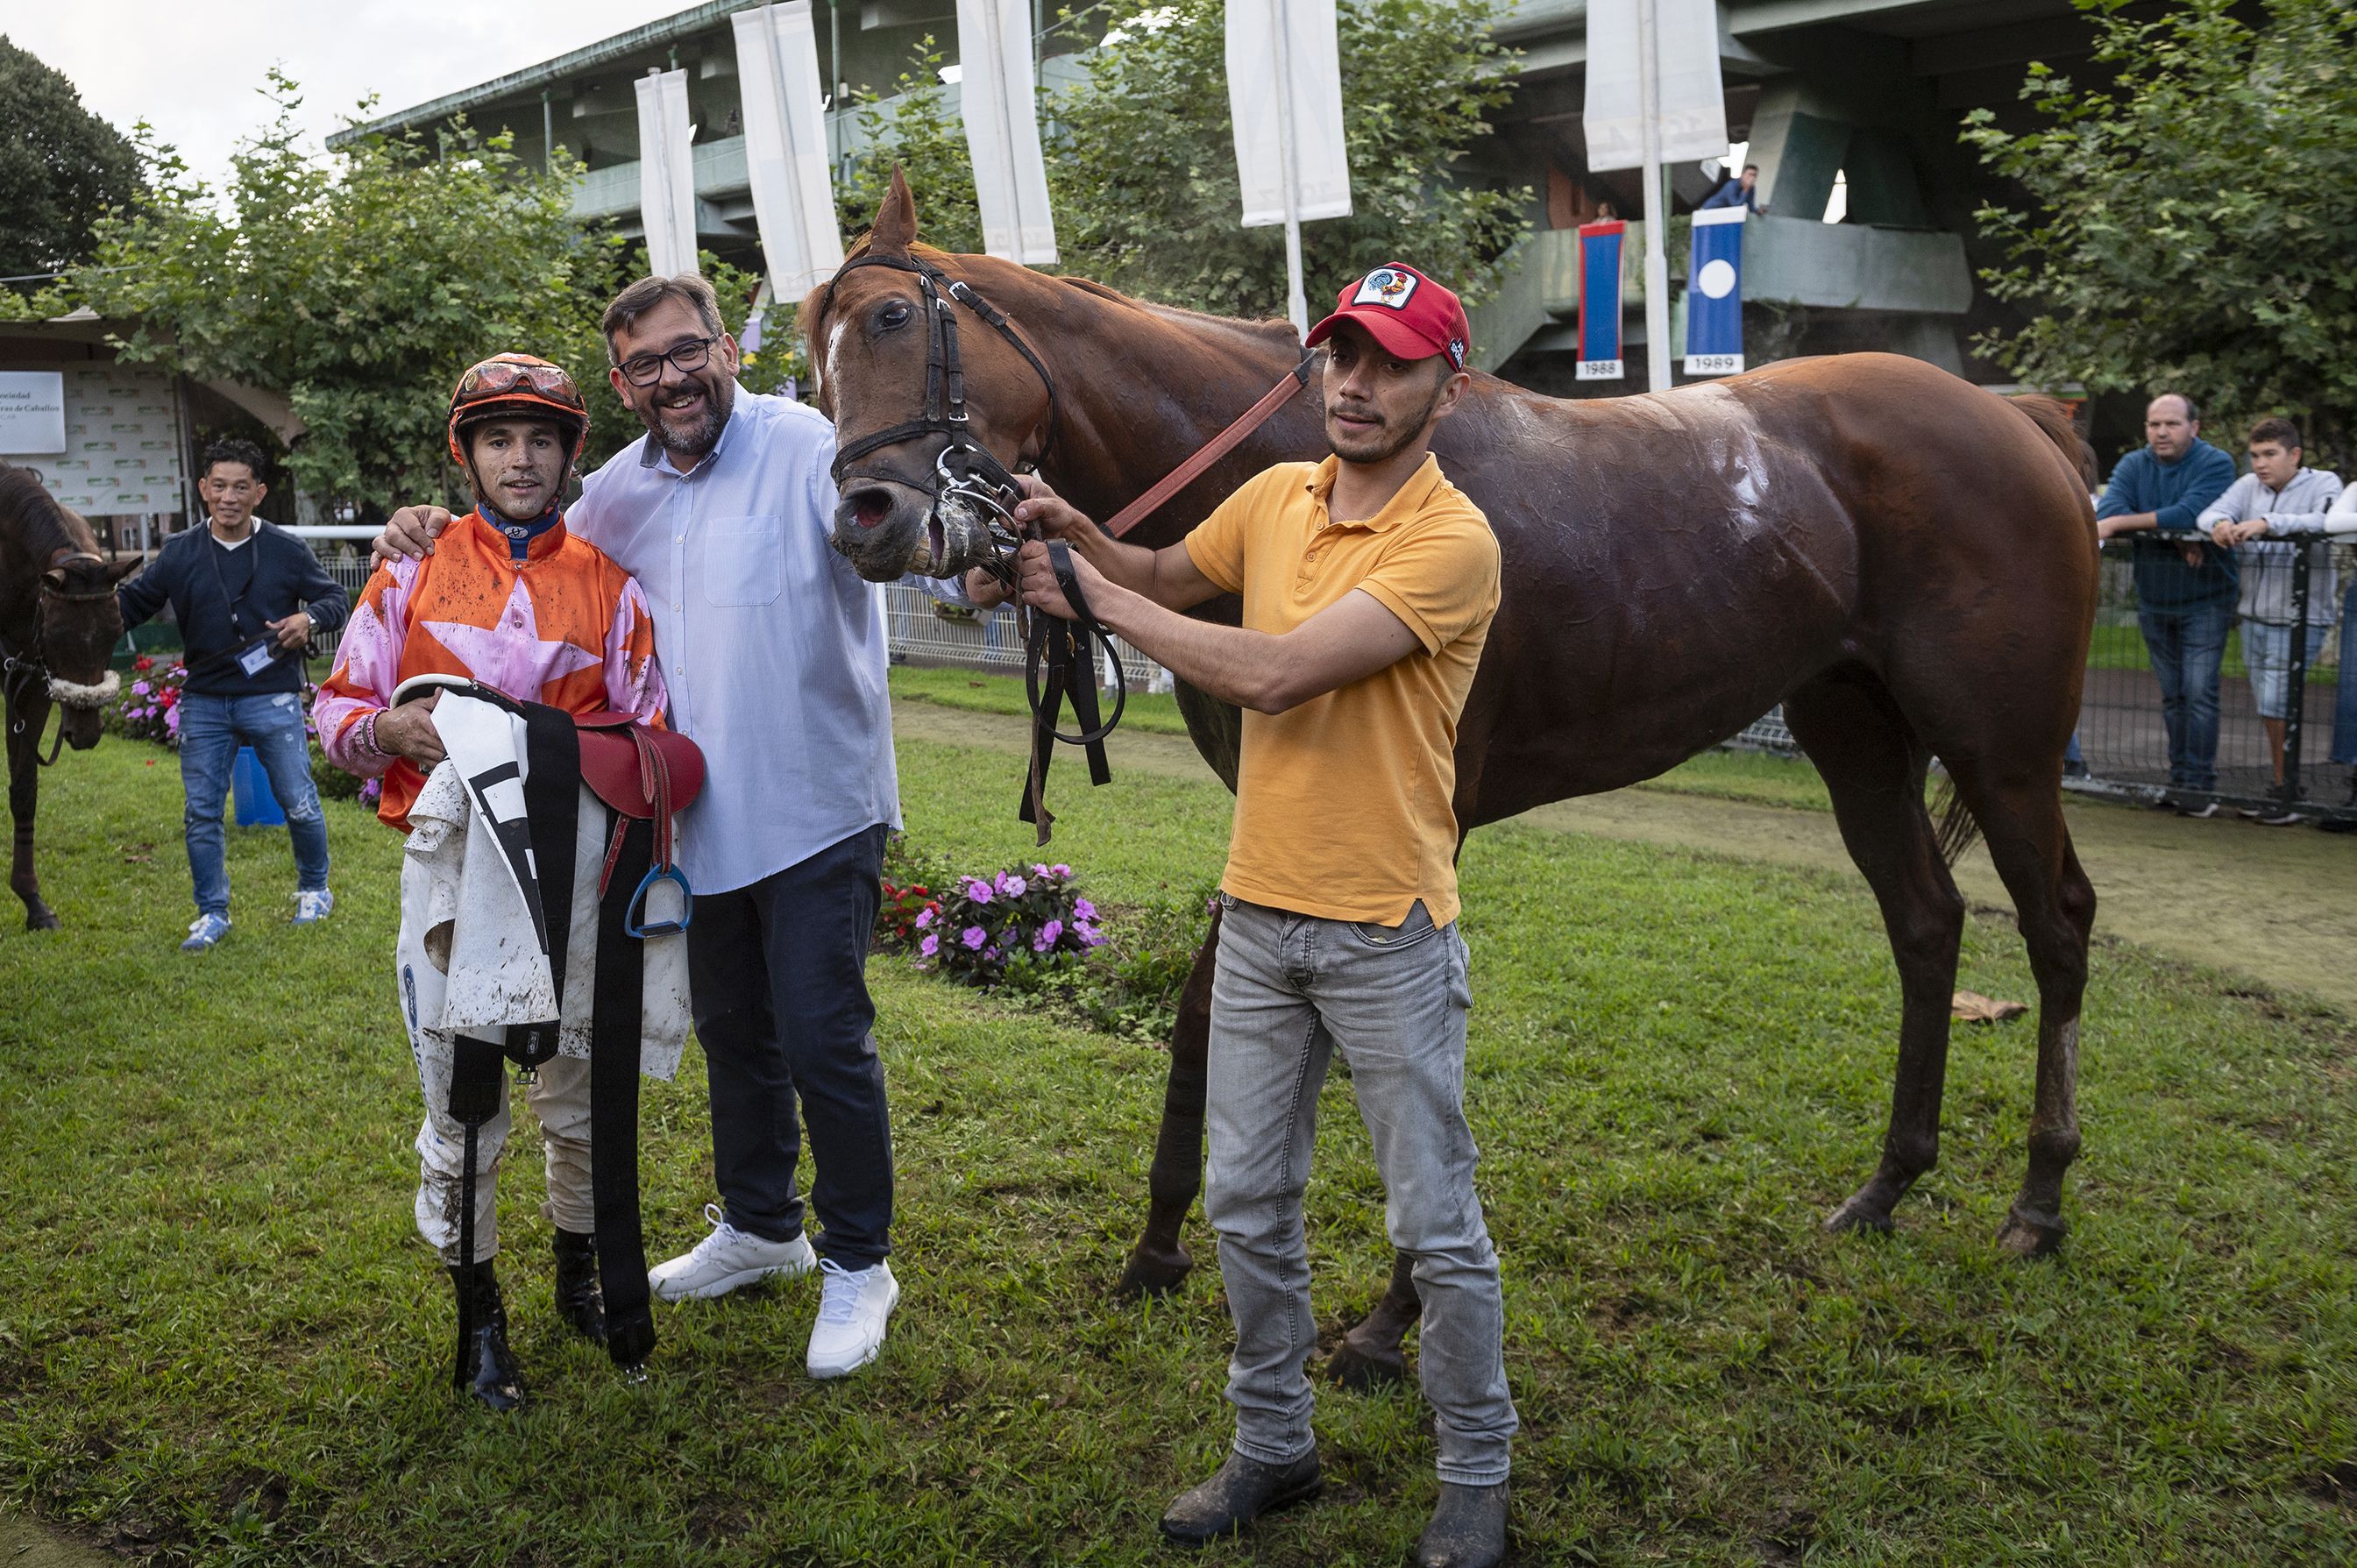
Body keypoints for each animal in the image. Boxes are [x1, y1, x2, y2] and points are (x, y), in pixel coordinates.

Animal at [1, 464, 132, 928]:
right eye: (58, 634)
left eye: (115, 631)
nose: (86, 732)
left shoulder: (29, 686)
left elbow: (24, 791)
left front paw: (32, 901)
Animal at [806, 176, 2102, 1386]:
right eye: (810, 358)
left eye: (889, 318)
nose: (863, 519)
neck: (1320, 474)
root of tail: (2019, 418)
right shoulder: (1275, 809)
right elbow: (1207, 1021)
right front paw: (1160, 1248)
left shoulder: (1423, 827)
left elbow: (1413, 1072)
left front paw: (1390, 1326)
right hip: (1853, 725)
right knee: (1926, 921)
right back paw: (1887, 1186)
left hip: (2004, 744)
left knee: (2056, 924)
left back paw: (2039, 1201)